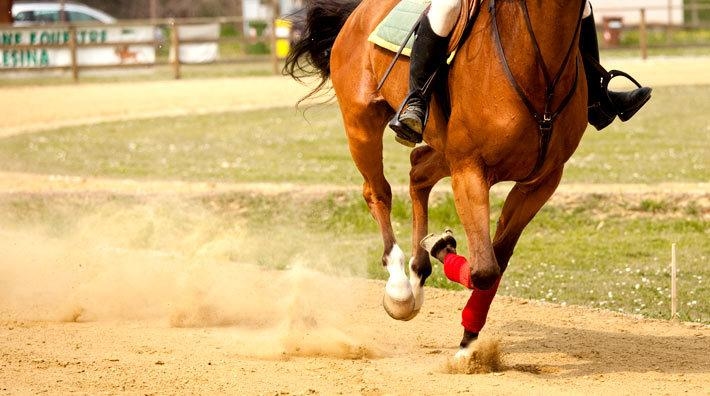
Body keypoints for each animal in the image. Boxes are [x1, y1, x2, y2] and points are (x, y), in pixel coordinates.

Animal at [284, 0, 588, 324]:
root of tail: (358, 13)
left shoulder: (541, 180)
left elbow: (496, 262)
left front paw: (471, 333)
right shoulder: (469, 169)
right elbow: (485, 269)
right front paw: (440, 248)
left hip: (442, 149)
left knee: (418, 170)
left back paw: (418, 271)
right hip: (361, 126)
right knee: (378, 192)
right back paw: (400, 287)